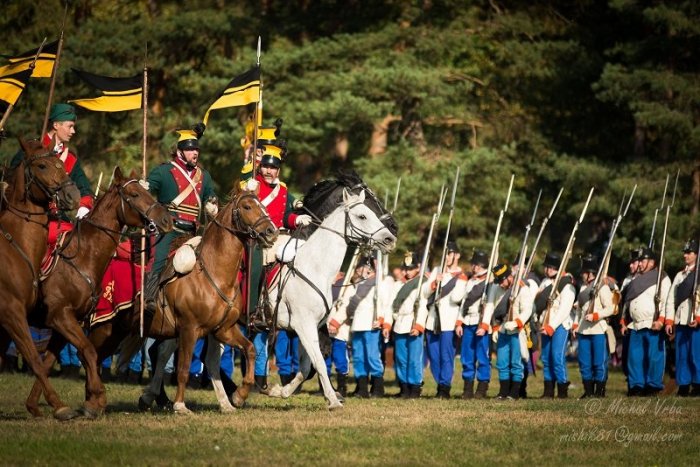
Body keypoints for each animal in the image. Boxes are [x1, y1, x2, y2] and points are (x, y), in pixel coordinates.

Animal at [0, 136, 80, 420]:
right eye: (42, 166)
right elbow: (34, 357)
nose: (72, 195)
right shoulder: (11, 312)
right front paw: (60, 405)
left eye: (61, 163)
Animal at [25, 168, 174, 420]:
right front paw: (96, 399)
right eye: (134, 194)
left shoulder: (66, 322)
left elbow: (48, 361)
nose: (166, 220)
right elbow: (86, 352)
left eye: (147, 191)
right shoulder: (61, 317)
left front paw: (38, 405)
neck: (82, 257)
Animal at [85, 182, 276, 414]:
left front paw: (237, 397)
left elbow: (248, 350)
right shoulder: (189, 329)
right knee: (91, 355)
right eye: (247, 206)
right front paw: (180, 405)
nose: (271, 231)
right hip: (104, 328)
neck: (214, 274)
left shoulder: (223, 330)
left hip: (119, 331)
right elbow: (183, 368)